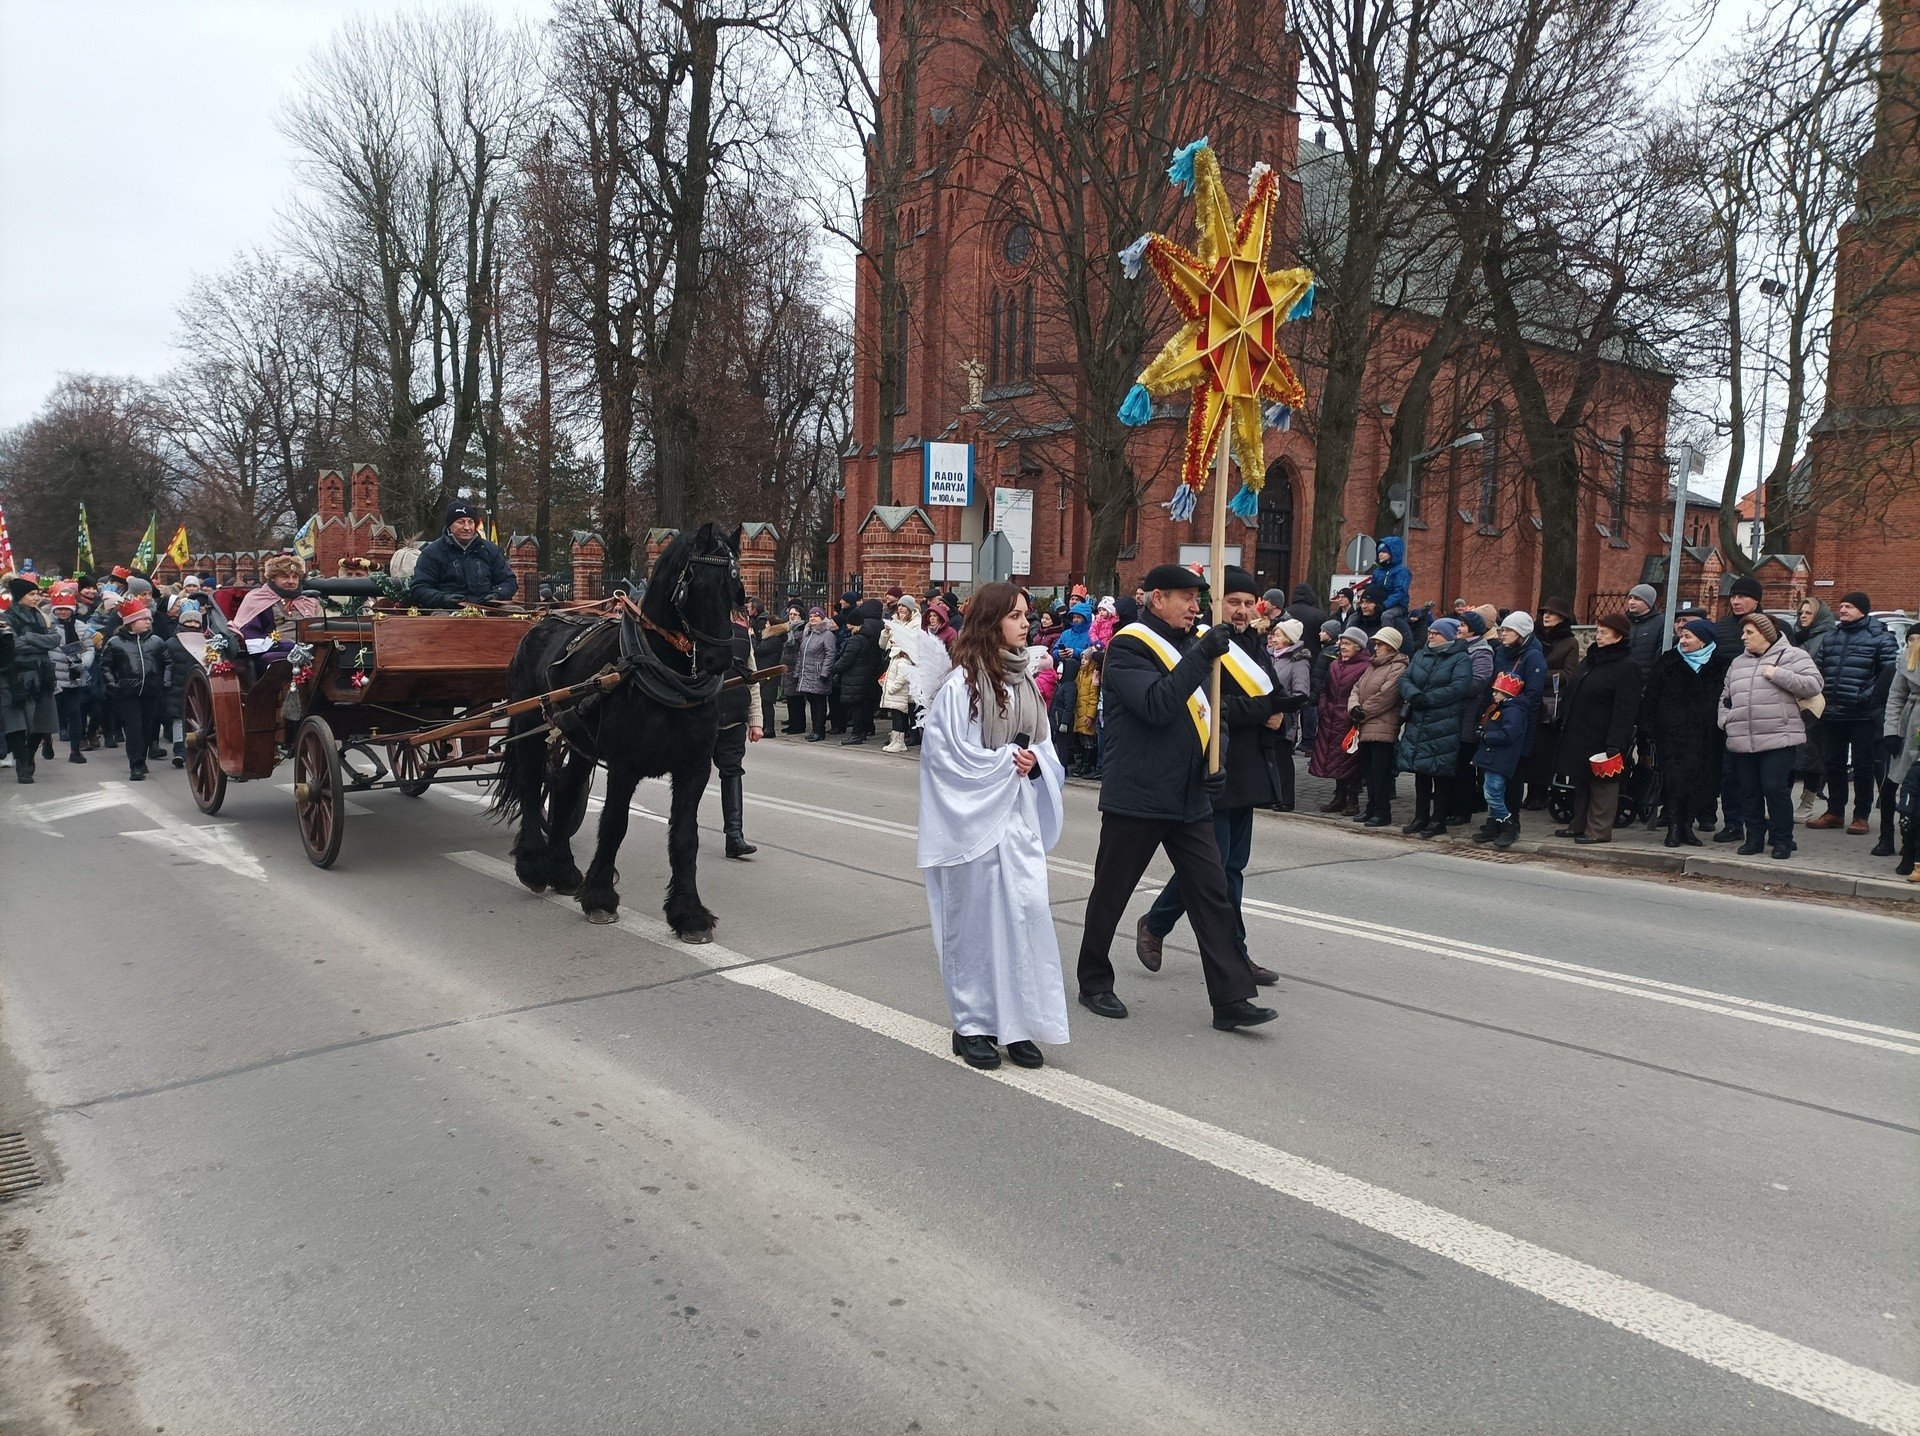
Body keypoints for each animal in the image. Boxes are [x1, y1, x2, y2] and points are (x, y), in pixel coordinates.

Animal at [487, 522, 741, 936]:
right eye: (696, 583)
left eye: (734, 585)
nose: (719, 658)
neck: (663, 675)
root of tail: (541, 620)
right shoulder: (625, 765)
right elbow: (614, 824)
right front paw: (600, 897)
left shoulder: (695, 766)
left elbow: (685, 836)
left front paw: (688, 912)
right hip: (532, 726)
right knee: (530, 787)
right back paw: (533, 865)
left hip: (578, 740)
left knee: (564, 790)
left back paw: (563, 870)